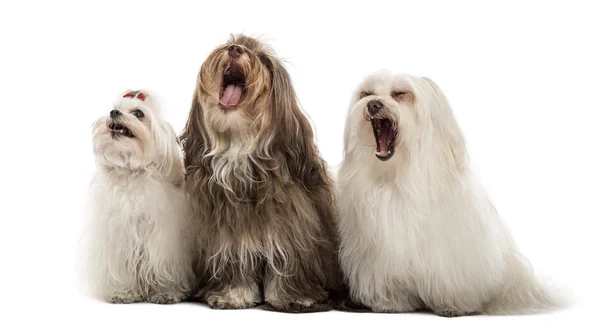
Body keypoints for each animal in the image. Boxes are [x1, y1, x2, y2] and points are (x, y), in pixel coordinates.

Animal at [82, 90, 193, 304]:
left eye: (139, 114)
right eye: (115, 108)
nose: (113, 113)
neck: (132, 173)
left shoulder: (164, 241)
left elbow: (165, 266)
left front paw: (166, 292)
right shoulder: (120, 237)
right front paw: (124, 292)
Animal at [338, 72, 568, 316]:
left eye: (400, 94)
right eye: (367, 93)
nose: (373, 105)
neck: (396, 177)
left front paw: (452, 306)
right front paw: (391, 303)